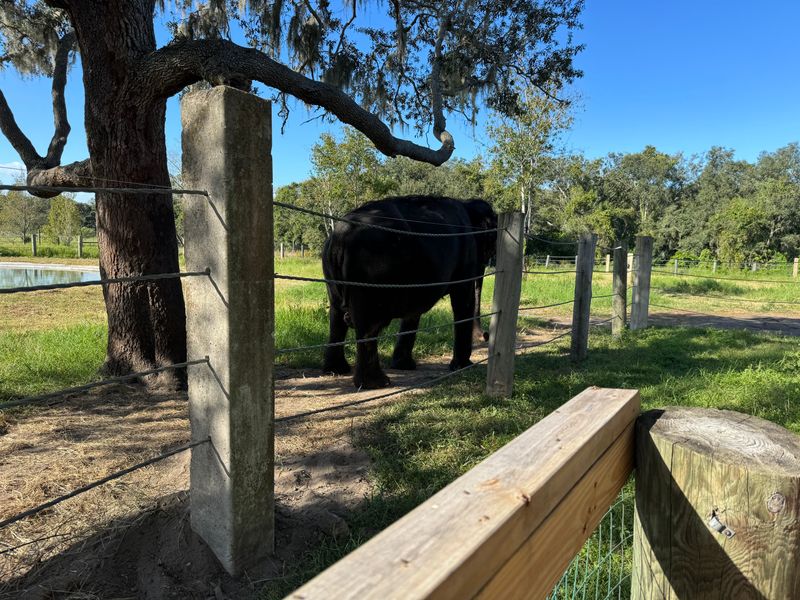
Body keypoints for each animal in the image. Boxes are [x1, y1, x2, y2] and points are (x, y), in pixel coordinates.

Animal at [321, 195, 498, 389]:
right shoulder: (466, 252)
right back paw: (377, 383)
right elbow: (463, 299)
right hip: (367, 273)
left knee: (337, 316)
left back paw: (336, 370)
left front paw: (404, 365)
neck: (468, 205)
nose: (485, 336)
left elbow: (414, 310)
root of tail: (340, 236)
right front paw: (464, 366)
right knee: (368, 324)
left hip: (333, 273)